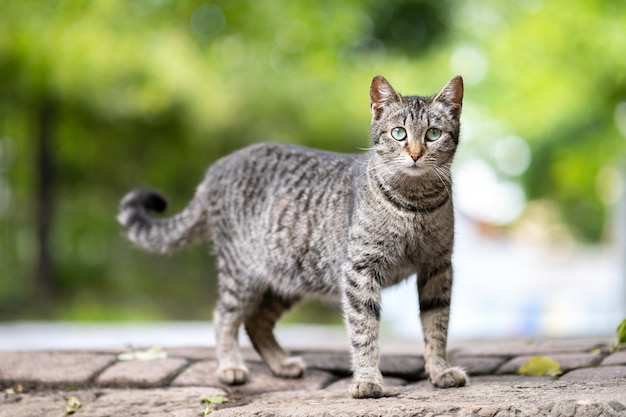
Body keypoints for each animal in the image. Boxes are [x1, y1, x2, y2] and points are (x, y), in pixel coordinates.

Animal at [118, 75, 468, 396]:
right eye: (399, 133)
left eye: (433, 134)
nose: (415, 154)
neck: (414, 205)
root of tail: (217, 168)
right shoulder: (360, 270)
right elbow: (364, 330)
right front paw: (368, 379)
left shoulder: (437, 267)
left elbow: (437, 327)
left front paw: (439, 371)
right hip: (243, 274)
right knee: (224, 317)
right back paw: (230, 366)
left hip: (289, 277)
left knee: (256, 322)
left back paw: (281, 364)